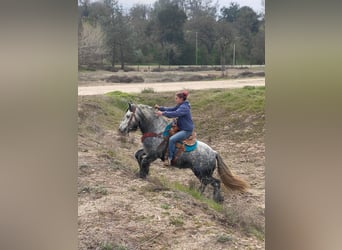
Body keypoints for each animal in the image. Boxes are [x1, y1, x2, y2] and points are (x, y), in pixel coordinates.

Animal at [119, 102, 247, 202]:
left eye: (128, 116)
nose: (121, 129)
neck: (157, 131)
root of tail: (214, 153)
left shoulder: (153, 155)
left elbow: (144, 161)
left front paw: (142, 175)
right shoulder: (148, 151)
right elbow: (138, 155)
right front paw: (142, 173)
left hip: (202, 173)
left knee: (216, 182)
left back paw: (214, 198)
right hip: (203, 174)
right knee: (208, 184)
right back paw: (203, 195)